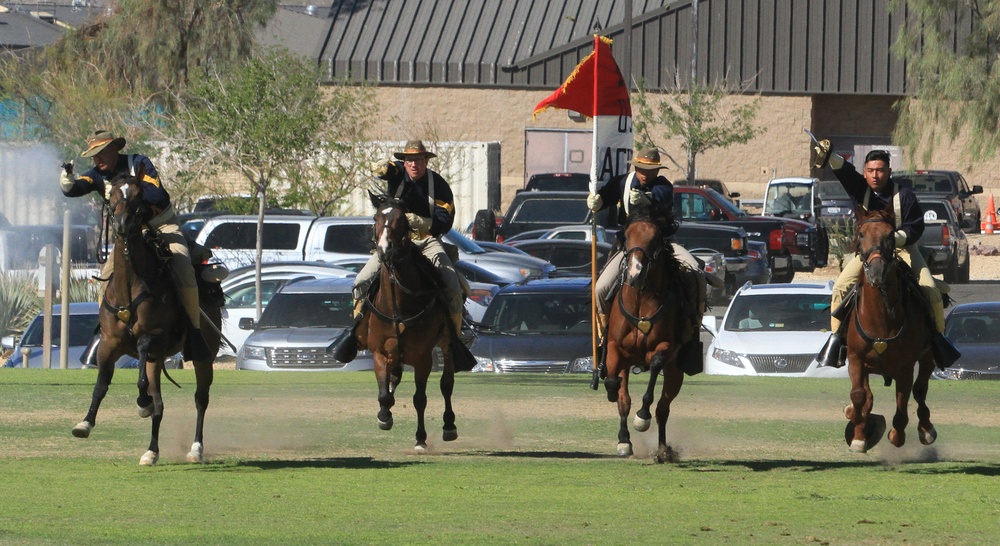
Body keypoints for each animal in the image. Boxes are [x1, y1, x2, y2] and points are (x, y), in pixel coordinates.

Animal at [71, 167, 224, 464]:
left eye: (138, 195)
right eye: (111, 196)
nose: (122, 224)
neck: (130, 287)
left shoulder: (152, 338)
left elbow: (141, 378)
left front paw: (142, 404)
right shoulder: (110, 343)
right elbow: (101, 384)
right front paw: (85, 423)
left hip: (203, 356)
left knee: (201, 398)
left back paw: (195, 449)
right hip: (158, 360)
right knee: (161, 405)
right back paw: (151, 452)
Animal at [358, 190, 462, 446]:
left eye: (401, 220)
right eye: (375, 218)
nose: (384, 249)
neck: (398, 305)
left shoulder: (424, 357)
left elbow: (420, 398)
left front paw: (420, 439)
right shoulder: (380, 352)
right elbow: (384, 394)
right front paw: (384, 416)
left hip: (447, 345)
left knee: (447, 384)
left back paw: (449, 425)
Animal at [600, 215, 696, 462]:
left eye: (655, 239)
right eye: (626, 236)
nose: (635, 273)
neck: (641, 299)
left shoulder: (665, 347)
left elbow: (654, 366)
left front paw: (642, 417)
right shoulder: (615, 349)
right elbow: (615, 387)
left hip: (675, 374)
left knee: (663, 409)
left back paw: (663, 450)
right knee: (625, 400)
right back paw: (624, 441)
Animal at [844, 207, 936, 450]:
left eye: (889, 235)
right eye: (861, 234)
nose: (876, 271)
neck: (879, 318)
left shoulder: (905, 368)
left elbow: (902, 406)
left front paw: (896, 435)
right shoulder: (855, 359)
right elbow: (859, 396)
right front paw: (859, 435)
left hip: (927, 357)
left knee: (920, 390)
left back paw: (926, 429)